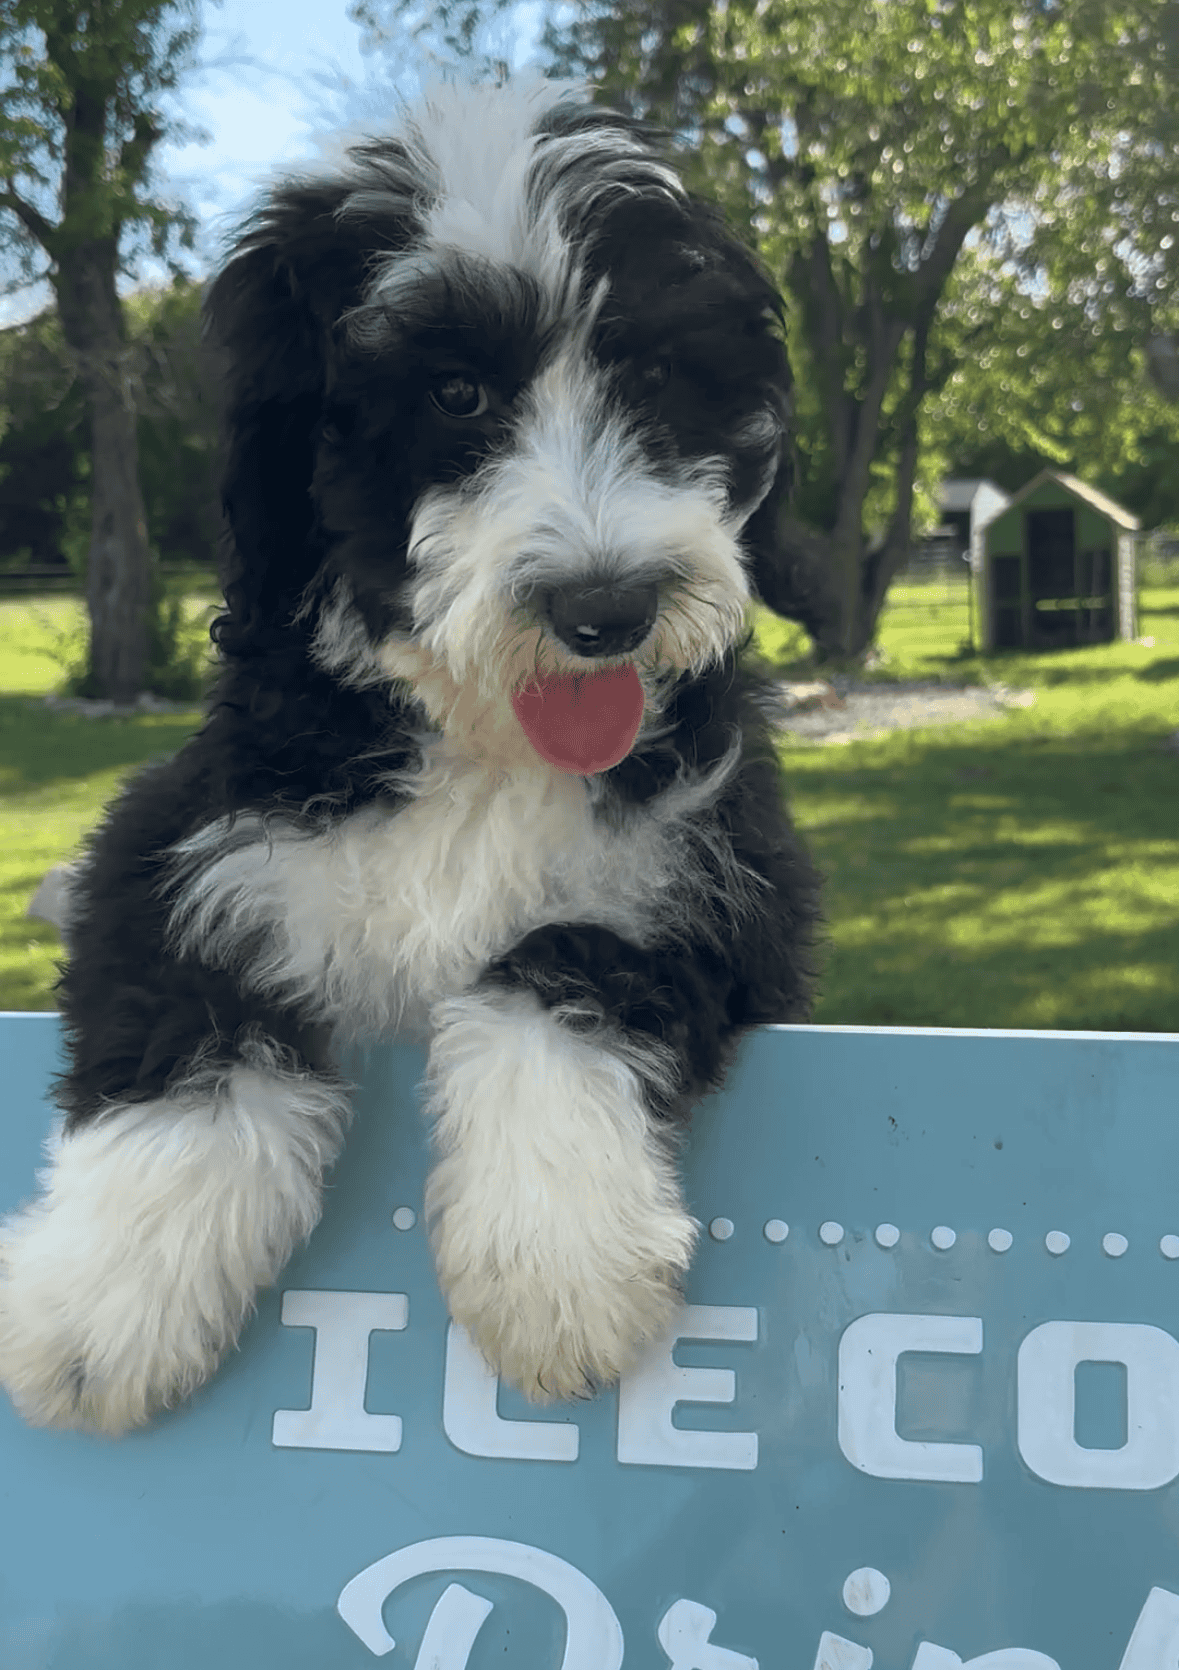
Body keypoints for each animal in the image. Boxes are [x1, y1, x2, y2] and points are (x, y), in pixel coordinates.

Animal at [0, 78, 818, 1436]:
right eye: (455, 396)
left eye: (654, 373)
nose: (608, 608)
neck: (479, 748)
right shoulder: (188, 835)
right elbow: (181, 1024)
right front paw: (99, 1304)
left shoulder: (720, 871)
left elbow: (562, 961)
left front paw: (555, 1260)